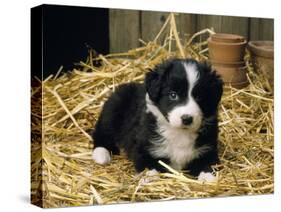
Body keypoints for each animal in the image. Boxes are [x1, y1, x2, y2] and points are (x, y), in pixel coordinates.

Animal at [91, 58, 222, 182]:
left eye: (200, 97)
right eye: (173, 95)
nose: (187, 118)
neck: (179, 132)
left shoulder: (207, 150)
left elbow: (207, 166)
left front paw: (208, 178)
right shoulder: (145, 148)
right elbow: (150, 168)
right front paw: (148, 178)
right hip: (112, 111)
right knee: (101, 134)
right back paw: (101, 155)